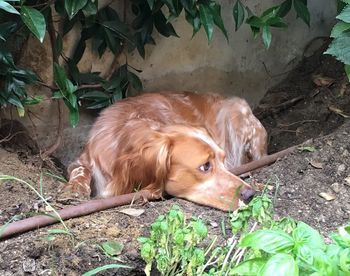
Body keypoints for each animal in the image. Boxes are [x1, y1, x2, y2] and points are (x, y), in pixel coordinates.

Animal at [67, 91, 266, 210]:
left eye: (222, 160)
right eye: (205, 166)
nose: (250, 194)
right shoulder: (83, 159)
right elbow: (80, 171)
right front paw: (73, 190)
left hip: (237, 108)